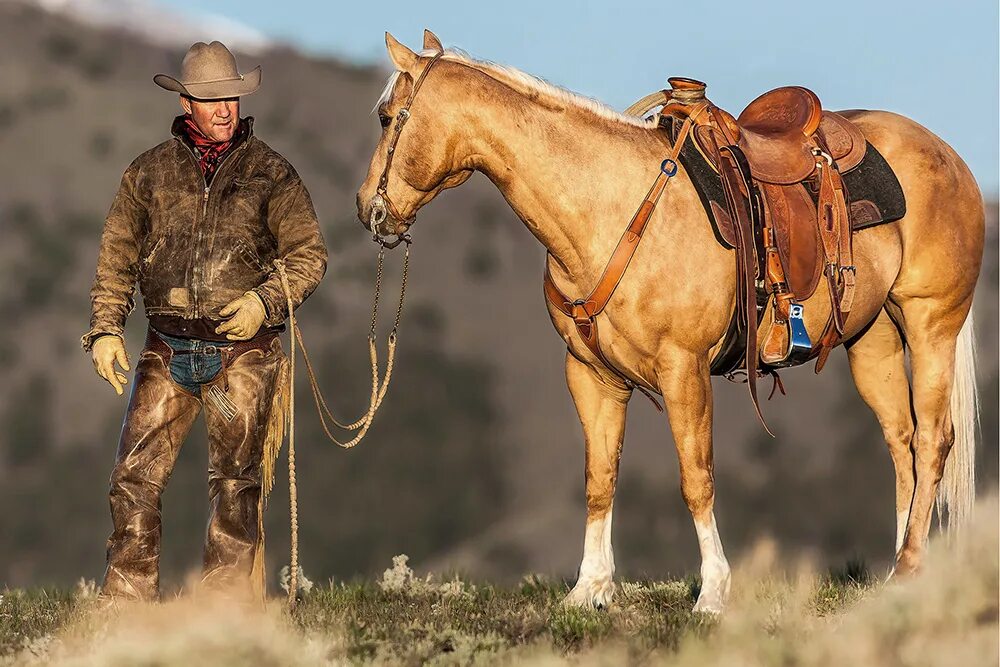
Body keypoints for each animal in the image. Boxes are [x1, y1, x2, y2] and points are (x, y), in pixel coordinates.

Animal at [356, 32, 980, 616]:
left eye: (387, 117)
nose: (368, 210)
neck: (609, 210)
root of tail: (947, 153)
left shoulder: (685, 370)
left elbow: (695, 478)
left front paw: (713, 593)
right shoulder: (591, 376)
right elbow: (599, 479)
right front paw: (590, 588)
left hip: (930, 324)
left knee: (933, 438)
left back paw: (910, 565)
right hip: (871, 340)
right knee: (901, 442)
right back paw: (900, 571)